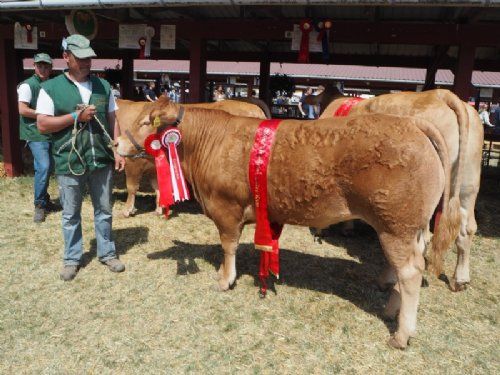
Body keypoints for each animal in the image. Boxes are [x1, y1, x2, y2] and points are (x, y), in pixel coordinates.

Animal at [115, 97, 268, 217]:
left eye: (145, 123)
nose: (117, 142)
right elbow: (157, 186)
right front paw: (159, 208)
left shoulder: (133, 162)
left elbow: (132, 187)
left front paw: (127, 210)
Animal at [318, 89, 482, 292]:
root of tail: (442, 94)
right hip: (467, 185)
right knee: (466, 228)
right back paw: (460, 280)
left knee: (419, 240)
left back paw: (388, 279)